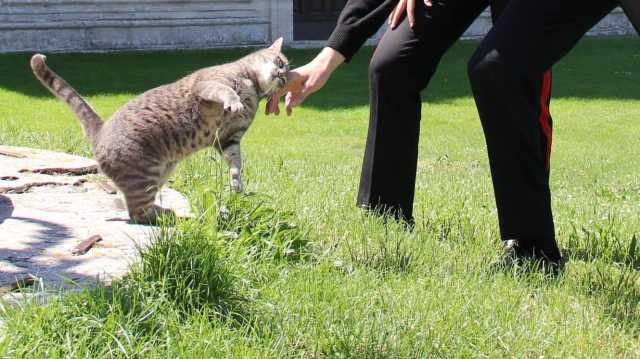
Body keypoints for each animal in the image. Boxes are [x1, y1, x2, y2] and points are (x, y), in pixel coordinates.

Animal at [30, 39, 290, 225]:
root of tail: (100, 130)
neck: (252, 87)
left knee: (131, 208)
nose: (284, 77)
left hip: (160, 174)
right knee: (138, 213)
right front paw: (234, 102)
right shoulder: (209, 85)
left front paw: (237, 187)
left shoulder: (229, 138)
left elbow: (236, 165)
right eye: (280, 61)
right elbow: (225, 91)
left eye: (287, 72)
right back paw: (173, 216)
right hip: (144, 179)